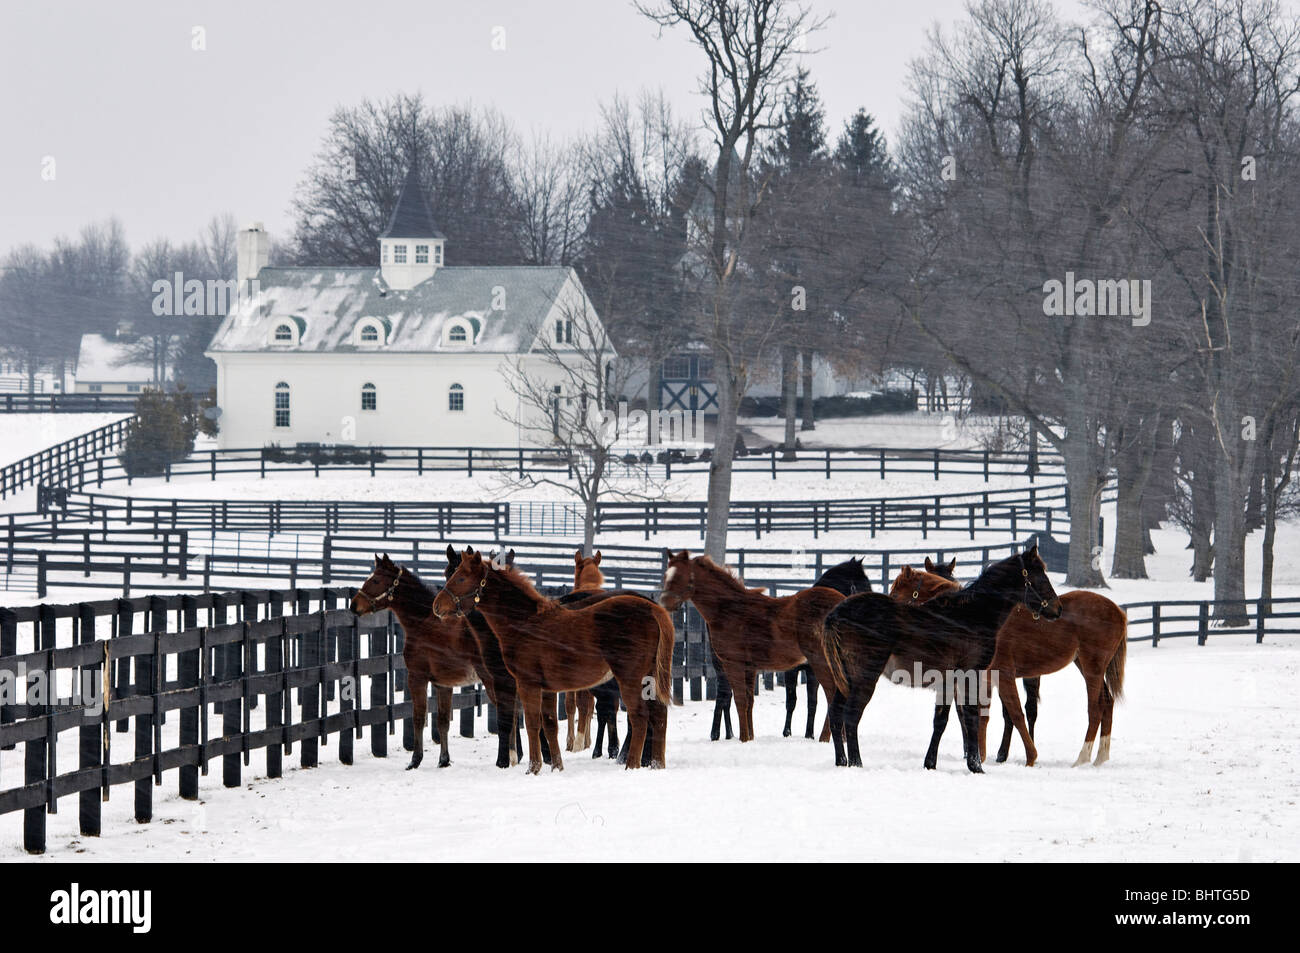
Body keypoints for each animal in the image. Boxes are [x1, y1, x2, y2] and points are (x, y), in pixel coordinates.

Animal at [436, 543, 681, 774]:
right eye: (449, 573)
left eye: (461, 577)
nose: (437, 606)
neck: (525, 622)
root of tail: (653, 609)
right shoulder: (547, 688)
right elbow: (550, 724)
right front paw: (556, 766)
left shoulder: (526, 683)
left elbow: (532, 724)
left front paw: (532, 767)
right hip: (648, 677)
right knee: (658, 715)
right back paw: (656, 764)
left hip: (630, 678)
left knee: (639, 717)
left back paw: (631, 764)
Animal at [660, 551, 842, 743]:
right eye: (666, 575)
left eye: (680, 576)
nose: (665, 602)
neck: (729, 610)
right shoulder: (749, 668)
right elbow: (749, 702)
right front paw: (749, 737)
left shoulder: (733, 664)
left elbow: (740, 701)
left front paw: (743, 738)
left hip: (821, 663)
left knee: (832, 694)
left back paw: (825, 737)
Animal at [702, 556, 873, 743]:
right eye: (862, 585)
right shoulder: (792, 670)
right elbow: (792, 701)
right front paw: (788, 732)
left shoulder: (812, 672)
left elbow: (812, 703)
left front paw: (809, 734)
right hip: (724, 666)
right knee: (723, 696)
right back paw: (718, 734)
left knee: (727, 697)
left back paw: (729, 734)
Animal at [826, 543, 1060, 774]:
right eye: (1040, 577)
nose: (1057, 609)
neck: (972, 616)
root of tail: (837, 613)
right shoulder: (970, 676)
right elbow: (971, 717)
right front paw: (976, 766)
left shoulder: (948, 682)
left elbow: (941, 720)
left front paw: (930, 763)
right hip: (864, 677)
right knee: (851, 716)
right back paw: (856, 763)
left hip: (847, 678)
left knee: (836, 715)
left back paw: (841, 761)